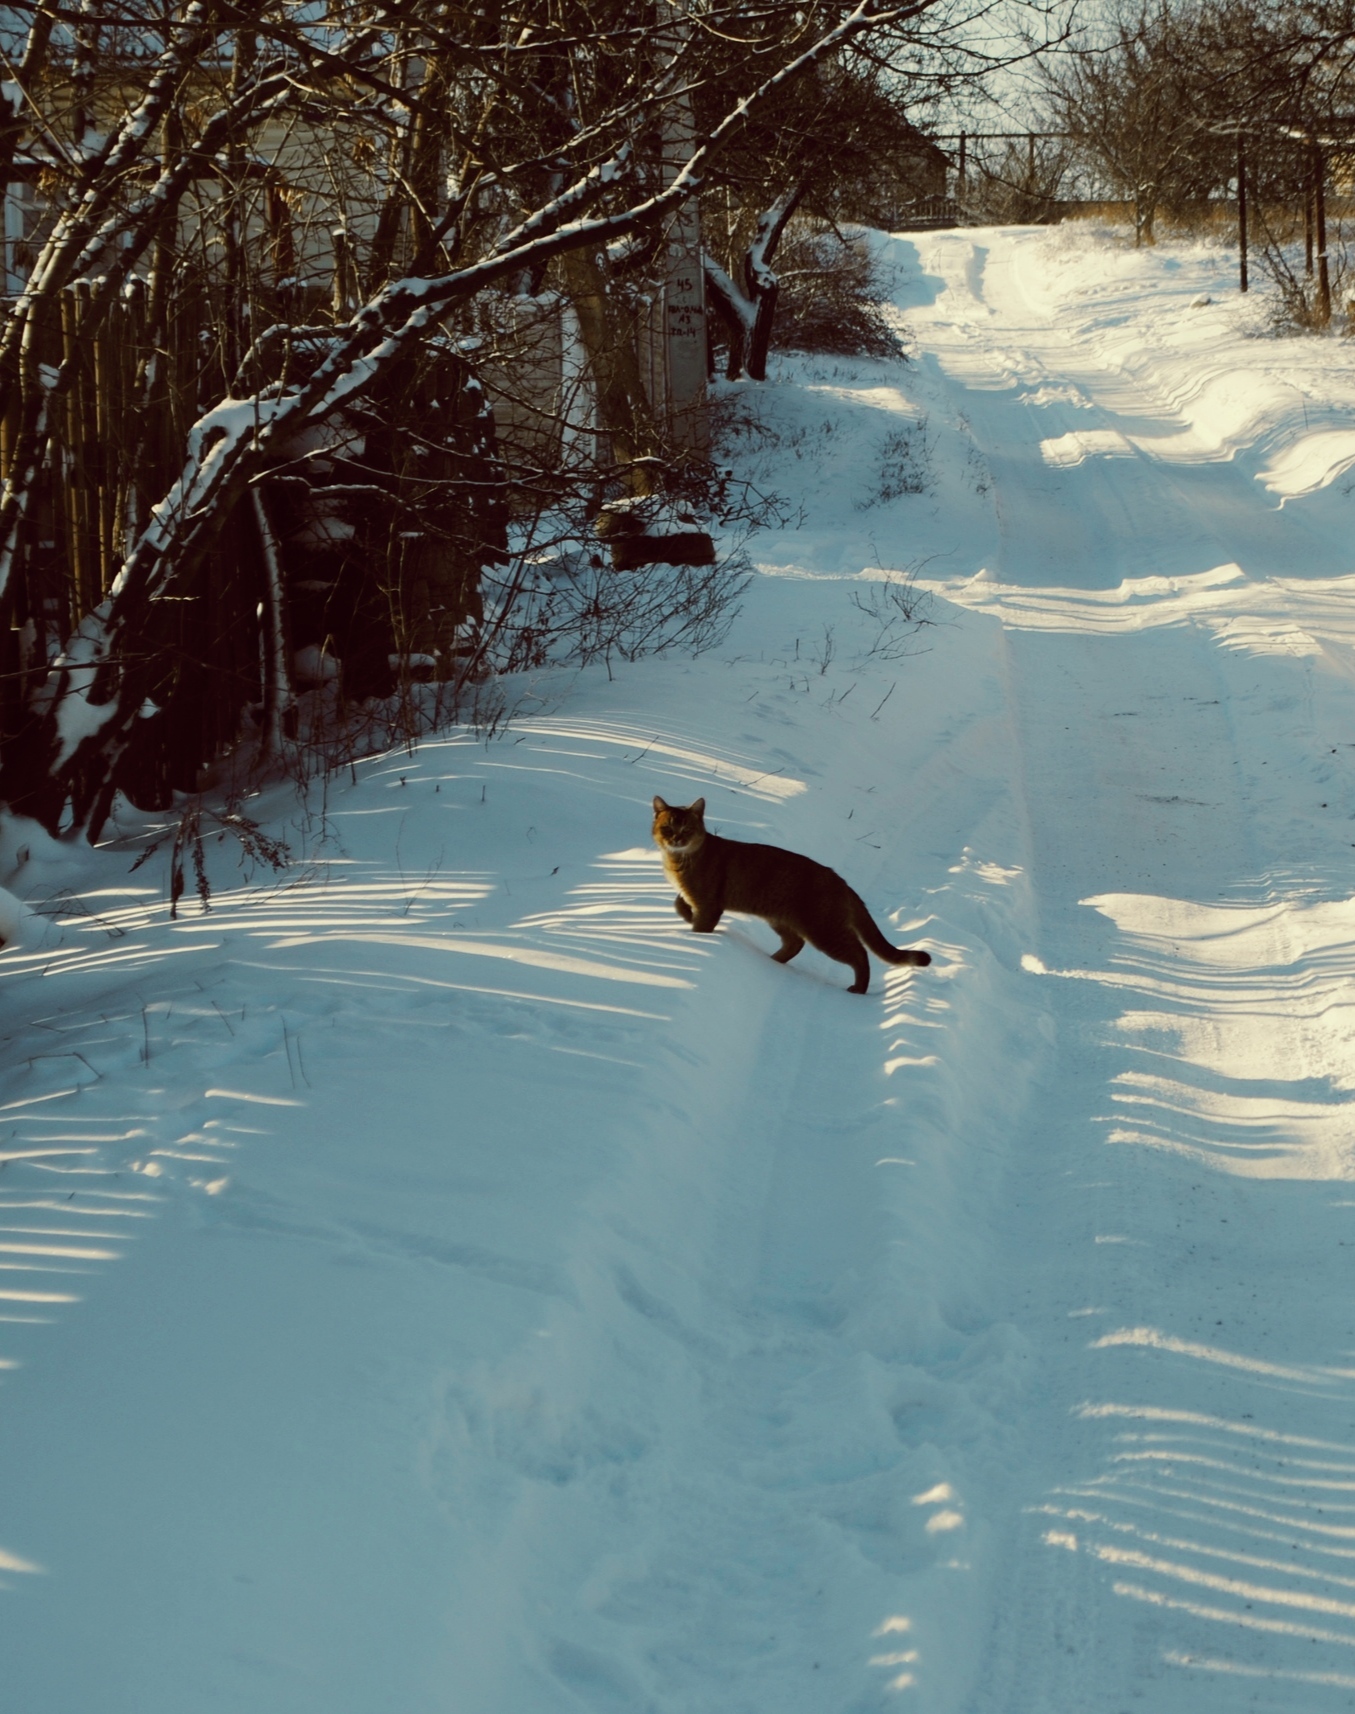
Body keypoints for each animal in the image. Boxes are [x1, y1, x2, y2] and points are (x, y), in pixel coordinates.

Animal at [647, 795, 925, 1000]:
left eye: (687, 829)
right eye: (668, 828)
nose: (676, 838)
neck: (678, 860)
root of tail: (840, 880)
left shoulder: (708, 904)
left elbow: (700, 925)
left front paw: (695, 938)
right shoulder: (697, 899)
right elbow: (678, 902)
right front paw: (685, 914)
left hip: (823, 929)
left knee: (859, 953)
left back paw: (858, 989)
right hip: (781, 918)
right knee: (795, 943)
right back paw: (772, 961)